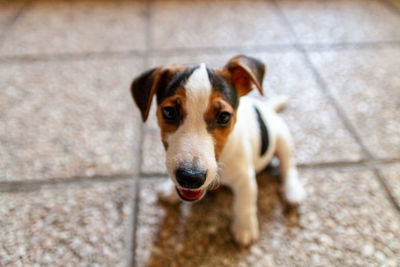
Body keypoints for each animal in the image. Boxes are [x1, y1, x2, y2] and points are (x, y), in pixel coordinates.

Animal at [131, 55, 306, 247]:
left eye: (224, 116)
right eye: (169, 112)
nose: (190, 178)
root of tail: (267, 108)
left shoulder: (245, 178)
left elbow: (244, 203)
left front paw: (245, 228)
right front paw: (170, 190)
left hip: (282, 138)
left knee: (288, 165)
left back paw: (293, 191)